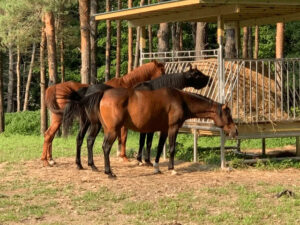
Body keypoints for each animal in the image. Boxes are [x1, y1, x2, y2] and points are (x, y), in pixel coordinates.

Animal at [62, 65, 211, 171]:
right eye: (197, 74)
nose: (209, 78)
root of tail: (86, 91)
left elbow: (142, 142)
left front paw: (141, 160)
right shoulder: (150, 126)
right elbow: (147, 142)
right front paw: (145, 161)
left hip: (86, 122)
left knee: (80, 139)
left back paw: (80, 164)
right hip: (96, 124)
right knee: (90, 140)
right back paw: (92, 165)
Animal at [79, 87, 237, 177]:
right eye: (228, 115)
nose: (235, 130)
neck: (180, 100)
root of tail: (103, 93)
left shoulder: (164, 129)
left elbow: (160, 148)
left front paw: (156, 168)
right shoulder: (173, 128)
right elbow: (172, 148)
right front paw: (172, 169)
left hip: (104, 128)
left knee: (91, 141)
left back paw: (94, 166)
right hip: (112, 130)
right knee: (105, 147)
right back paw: (109, 172)